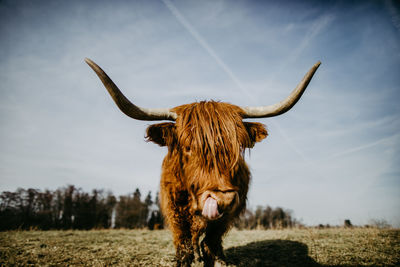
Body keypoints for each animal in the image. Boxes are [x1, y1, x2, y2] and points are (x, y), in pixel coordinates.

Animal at [86, 57, 320, 266]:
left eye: (237, 147)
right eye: (188, 147)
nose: (223, 198)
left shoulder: (224, 218)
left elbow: (210, 245)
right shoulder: (175, 214)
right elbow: (185, 248)